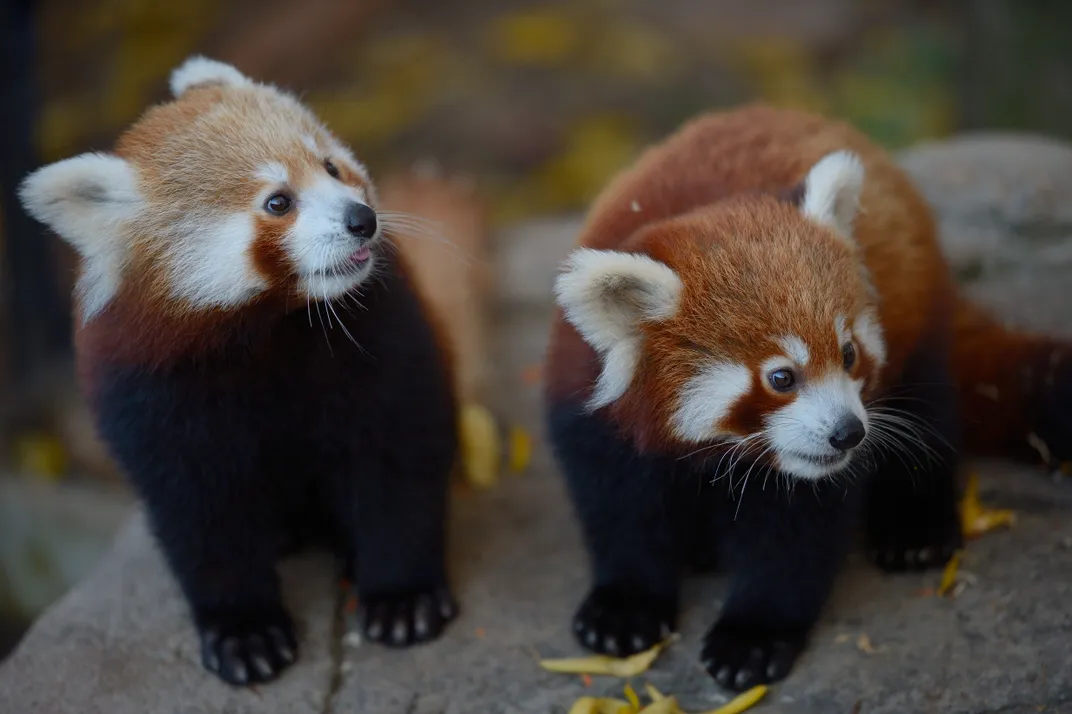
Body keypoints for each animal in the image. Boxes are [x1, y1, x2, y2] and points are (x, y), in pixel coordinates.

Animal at [16, 59, 460, 686]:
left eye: (331, 166)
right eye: (277, 202)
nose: (362, 218)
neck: (268, 331)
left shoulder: (385, 332)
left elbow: (395, 461)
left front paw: (403, 595)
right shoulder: (152, 392)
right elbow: (201, 515)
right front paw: (244, 632)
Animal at [544, 104, 1072, 690]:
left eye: (848, 354)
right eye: (781, 378)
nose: (849, 432)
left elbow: (794, 538)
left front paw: (754, 635)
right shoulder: (591, 414)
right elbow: (620, 511)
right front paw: (624, 608)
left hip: (920, 327)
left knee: (929, 418)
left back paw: (916, 529)